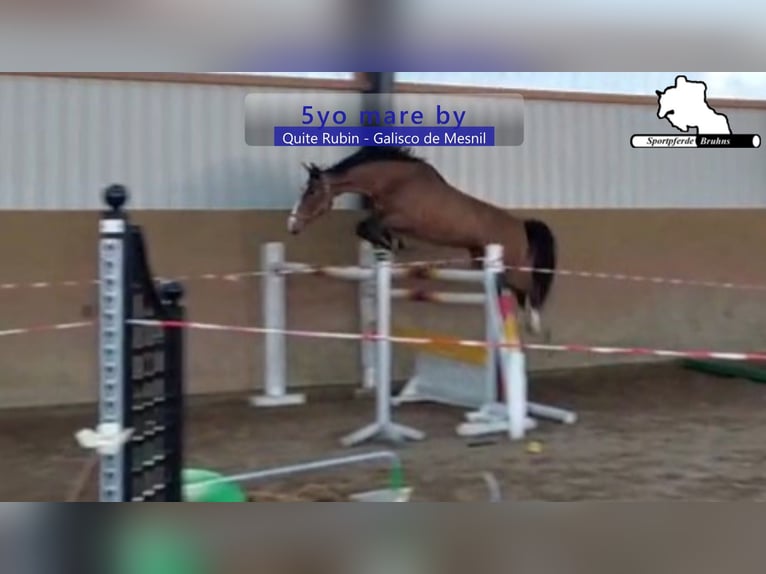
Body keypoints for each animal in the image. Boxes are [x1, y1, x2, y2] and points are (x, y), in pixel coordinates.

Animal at [286, 146, 557, 335]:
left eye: (312, 192)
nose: (292, 225)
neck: (395, 182)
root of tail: (521, 225)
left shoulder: (403, 220)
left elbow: (366, 226)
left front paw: (389, 246)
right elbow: (369, 229)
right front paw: (389, 247)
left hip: (513, 266)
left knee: (529, 288)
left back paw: (534, 325)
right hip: (482, 260)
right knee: (514, 291)